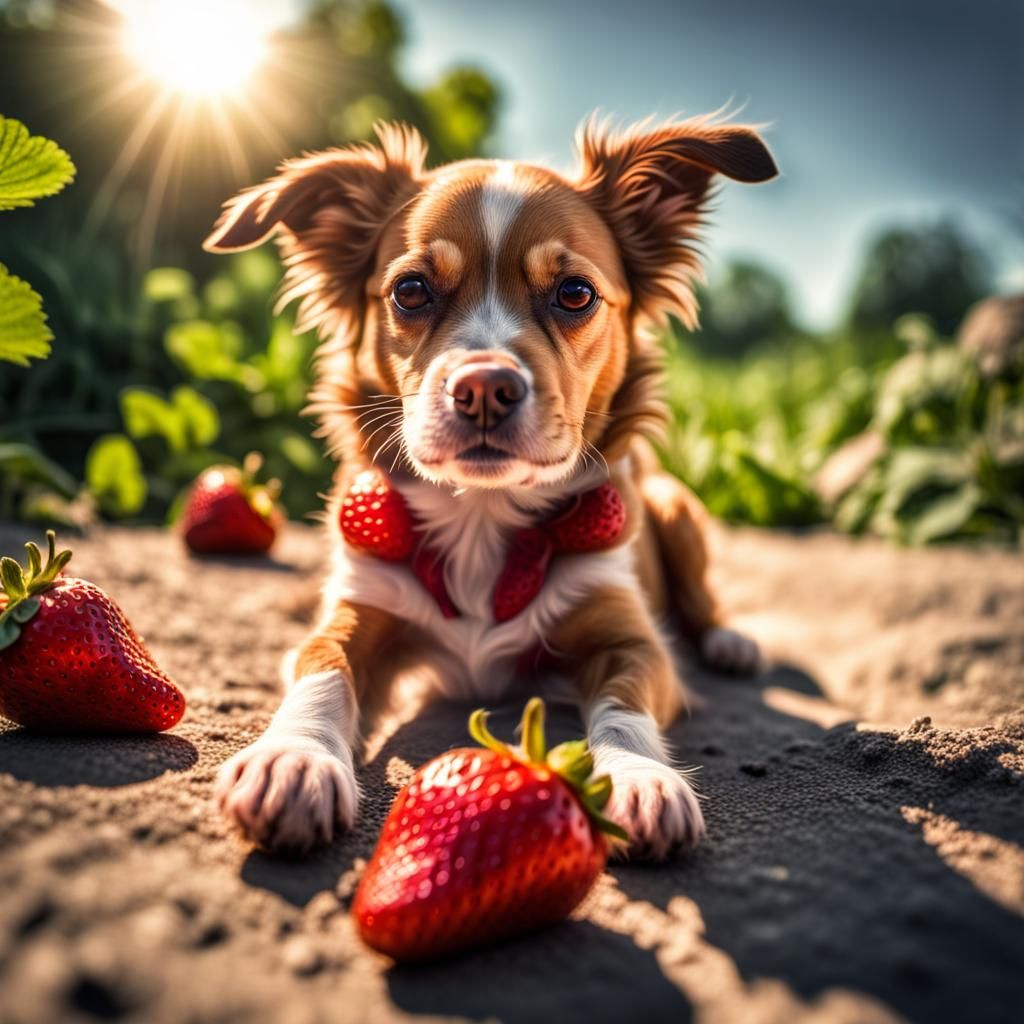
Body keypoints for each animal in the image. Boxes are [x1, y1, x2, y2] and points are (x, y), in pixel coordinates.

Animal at [201, 116, 774, 860]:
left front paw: (635, 777)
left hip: (677, 513)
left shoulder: (632, 639)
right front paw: (293, 759)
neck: (482, 512)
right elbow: (321, 667)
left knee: (703, 604)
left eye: (575, 293)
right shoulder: (359, 609)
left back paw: (731, 643)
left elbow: (623, 705)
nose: (483, 387)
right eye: (411, 290)